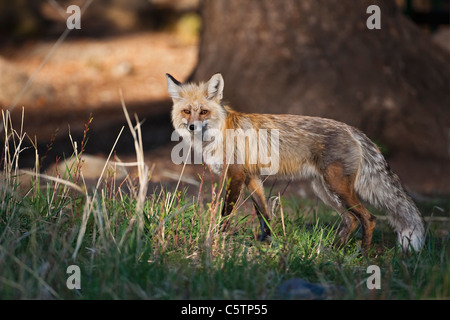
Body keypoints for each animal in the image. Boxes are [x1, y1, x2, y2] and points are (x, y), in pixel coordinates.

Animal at [166, 72, 426, 252]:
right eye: (187, 111)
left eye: (203, 112)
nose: (192, 127)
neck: (220, 132)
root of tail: (353, 130)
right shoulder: (252, 178)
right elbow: (264, 214)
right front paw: (266, 243)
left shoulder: (236, 176)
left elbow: (226, 212)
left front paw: (217, 237)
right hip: (324, 190)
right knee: (351, 219)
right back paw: (334, 251)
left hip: (336, 187)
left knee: (368, 218)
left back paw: (363, 254)